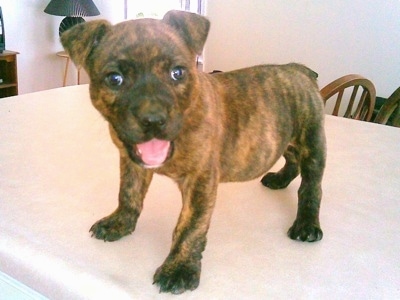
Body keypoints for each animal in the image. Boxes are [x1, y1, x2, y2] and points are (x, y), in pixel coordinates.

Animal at [61, 9, 324, 296]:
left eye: (177, 73)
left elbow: (190, 226)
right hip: (287, 138)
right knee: (292, 159)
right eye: (114, 79)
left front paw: (180, 268)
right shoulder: (132, 164)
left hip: (313, 143)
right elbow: (128, 194)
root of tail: (297, 68)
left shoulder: (200, 180)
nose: (153, 119)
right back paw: (279, 179)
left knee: (311, 187)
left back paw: (307, 224)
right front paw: (120, 222)